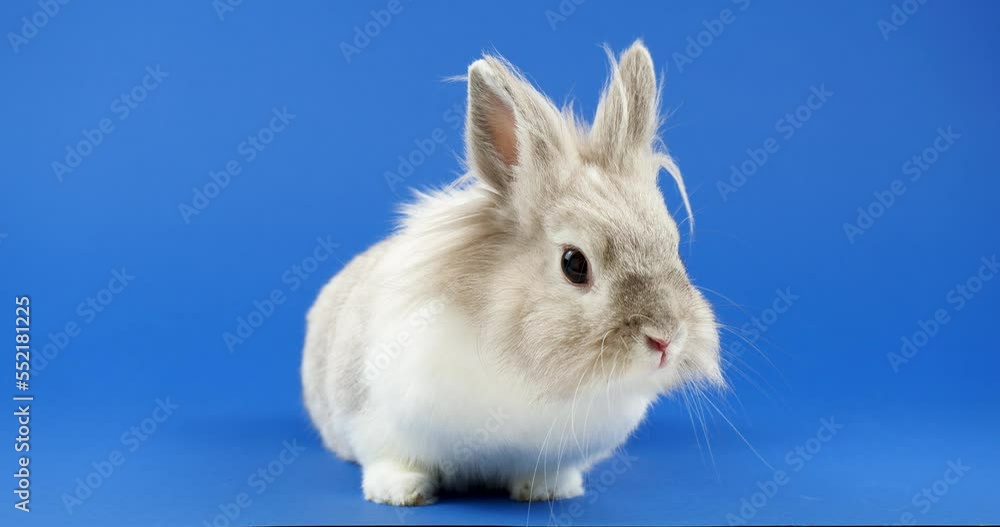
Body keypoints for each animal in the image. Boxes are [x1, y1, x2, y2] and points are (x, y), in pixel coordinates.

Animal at [301, 40, 723, 506]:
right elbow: (395, 460)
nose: (666, 338)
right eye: (574, 263)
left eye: (674, 247)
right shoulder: (382, 425)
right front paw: (401, 492)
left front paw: (548, 491)